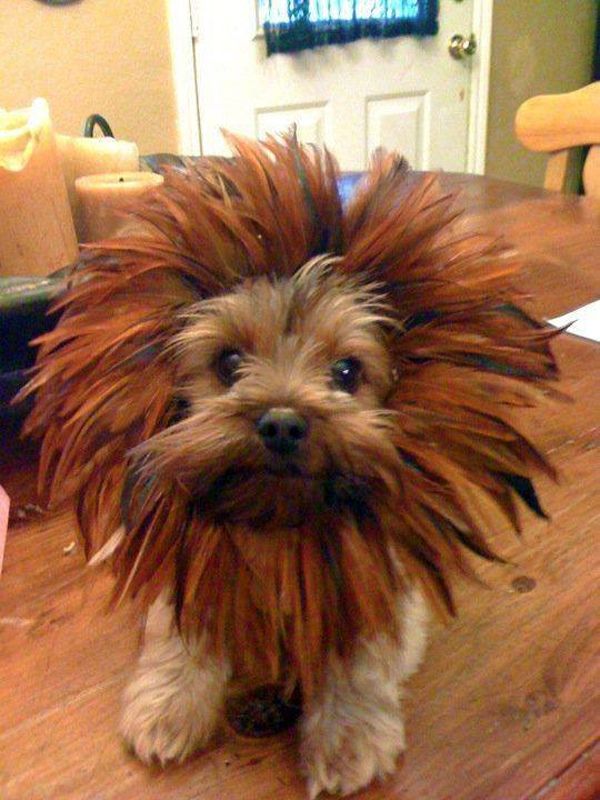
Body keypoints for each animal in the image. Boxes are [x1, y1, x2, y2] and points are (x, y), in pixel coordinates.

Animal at [23, 134, 556, 796]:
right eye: (228, 363)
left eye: (347, 371)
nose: (280, 422)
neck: (278, 525)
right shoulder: (193, 557)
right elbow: (181, 627)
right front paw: (169, 704)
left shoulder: (367, 574)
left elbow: (358, 651)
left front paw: (349, 734)